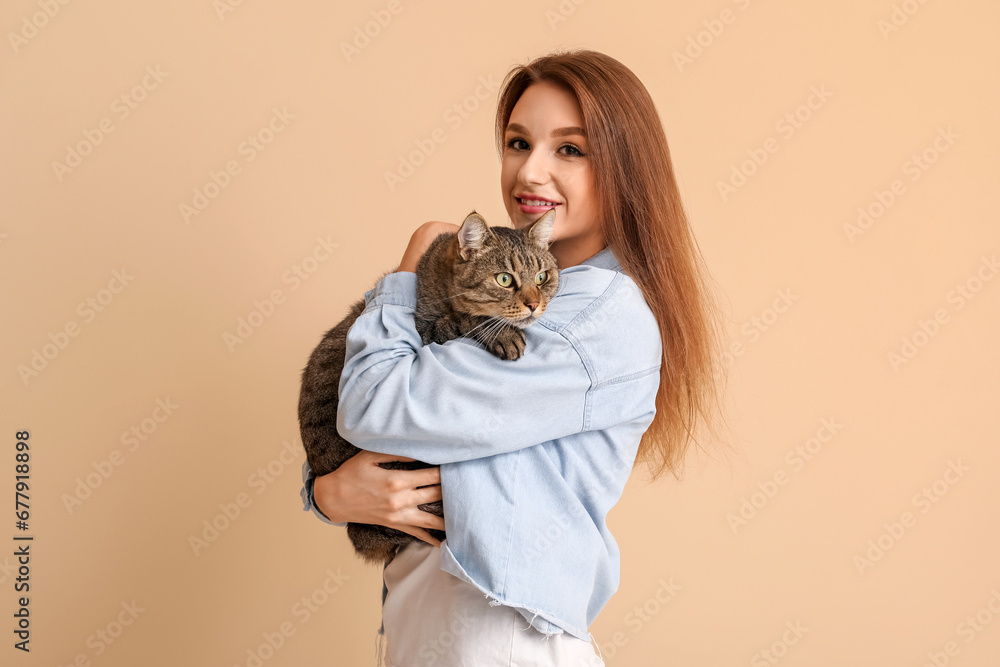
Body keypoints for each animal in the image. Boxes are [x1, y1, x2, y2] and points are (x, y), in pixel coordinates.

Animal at [296, 211, 564, 568]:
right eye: (505, 279)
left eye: (542, 277)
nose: (535, 304)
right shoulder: (425, 331)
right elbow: (467, 319)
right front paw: (501, 333)